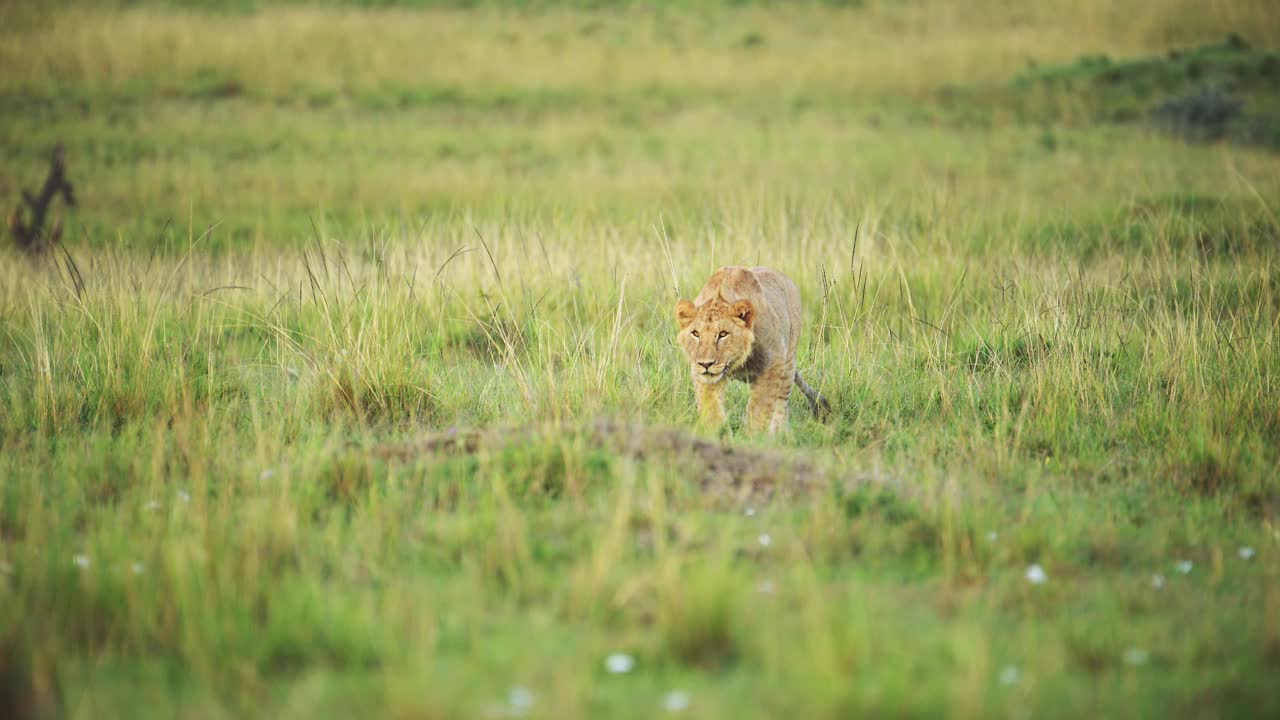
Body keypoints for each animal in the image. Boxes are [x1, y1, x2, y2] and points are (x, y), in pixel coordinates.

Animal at [675, 263, 824, 430]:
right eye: (696, 334)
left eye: (723, 334)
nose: (705, 364)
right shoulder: (701, 374)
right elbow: (711, 408)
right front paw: (716, 431)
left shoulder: (773, 363)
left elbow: (759, 409)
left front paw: (755, 434)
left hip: (788, 362)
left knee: (782, 403)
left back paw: (780, 432)